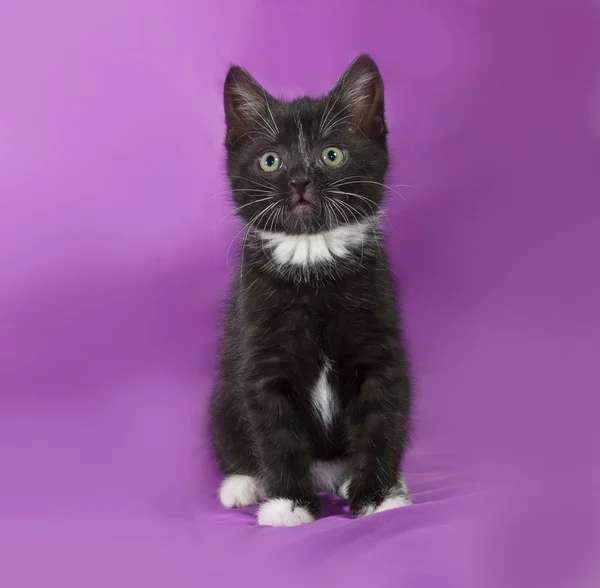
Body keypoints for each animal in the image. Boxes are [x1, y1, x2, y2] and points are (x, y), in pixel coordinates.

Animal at [209, 54, 410, 524]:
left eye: (331, 155)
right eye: (271, 161)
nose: (300, 180)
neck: (312, 257)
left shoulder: (379, 344)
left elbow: (380, 419)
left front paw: (378, 495)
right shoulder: (260, 351)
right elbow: (275, 431)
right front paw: (288, 503)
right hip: (222, 394)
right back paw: (244, 483)